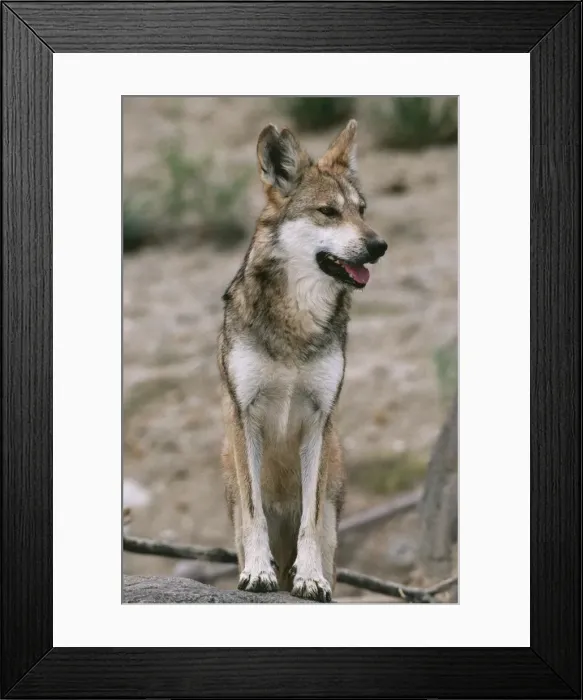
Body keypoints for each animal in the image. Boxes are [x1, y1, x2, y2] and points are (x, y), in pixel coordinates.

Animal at [217, 119, 387, 602]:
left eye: (361, 210)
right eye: (328, 212)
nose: (380, 245)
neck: (298, 323)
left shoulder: (318, 419)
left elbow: (308, 521)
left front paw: (309, 579)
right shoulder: (244, 414)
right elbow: (255, 514)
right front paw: (259, 573)